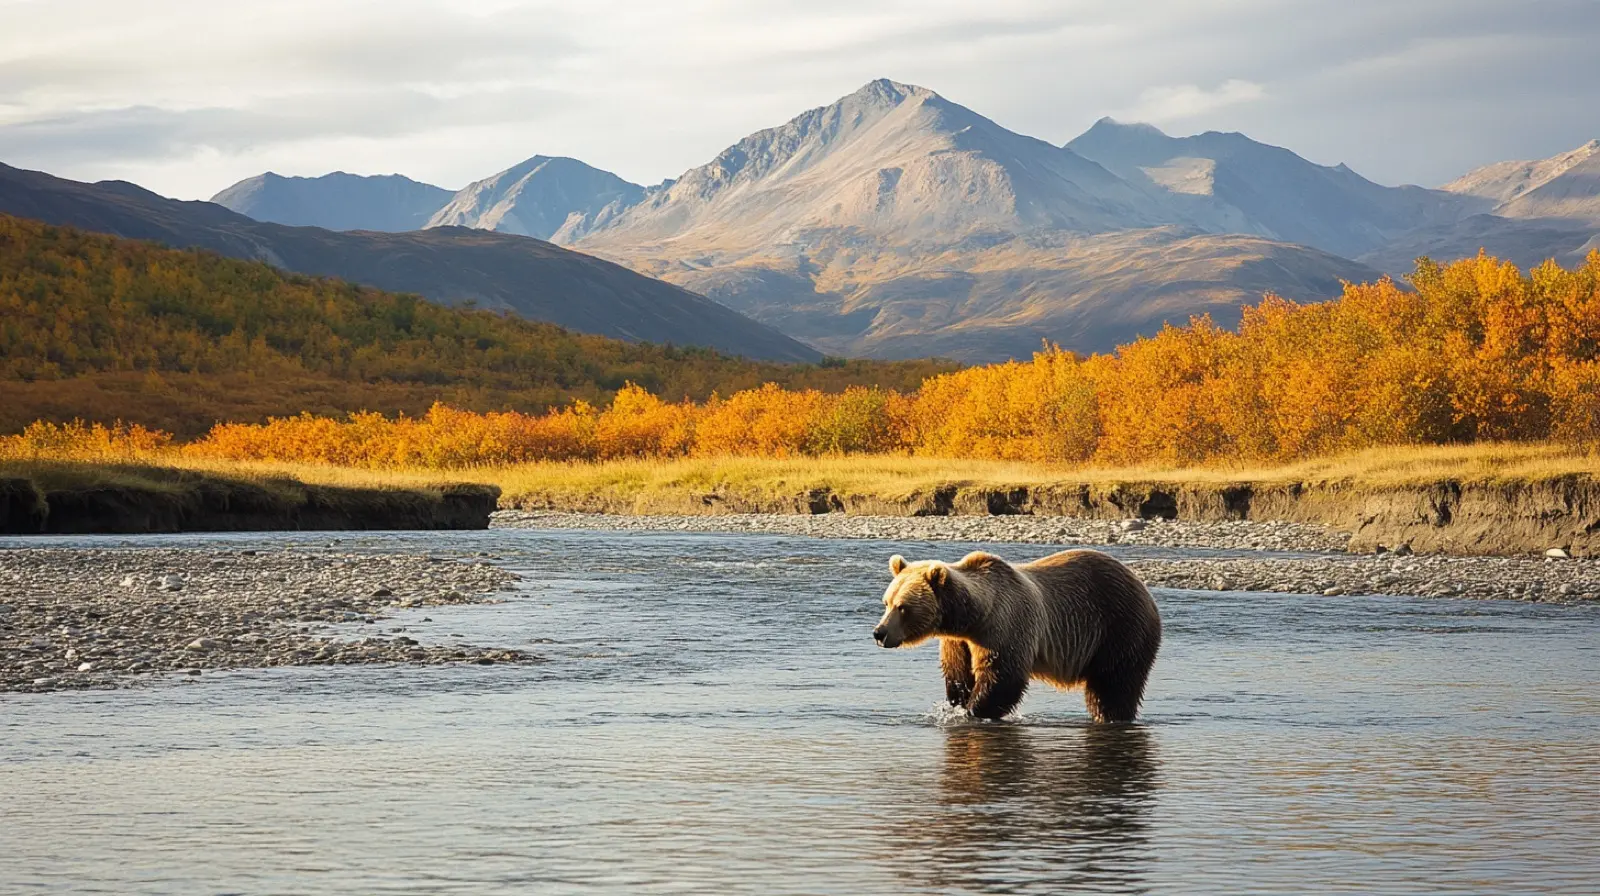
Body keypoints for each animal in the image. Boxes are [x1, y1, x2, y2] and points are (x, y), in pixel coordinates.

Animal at [872, 549, 1161, 722]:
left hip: (1119, 629)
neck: (974, 617)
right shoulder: (958, 641)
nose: (879, 632)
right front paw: (956, 704)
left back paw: (1113, 715)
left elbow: (1003, 676)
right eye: (886, 602)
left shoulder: (1005, 625)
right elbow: (957, 674)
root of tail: (1142, 586)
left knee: (1113, 684)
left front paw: (974, 711)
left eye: (903, 607)